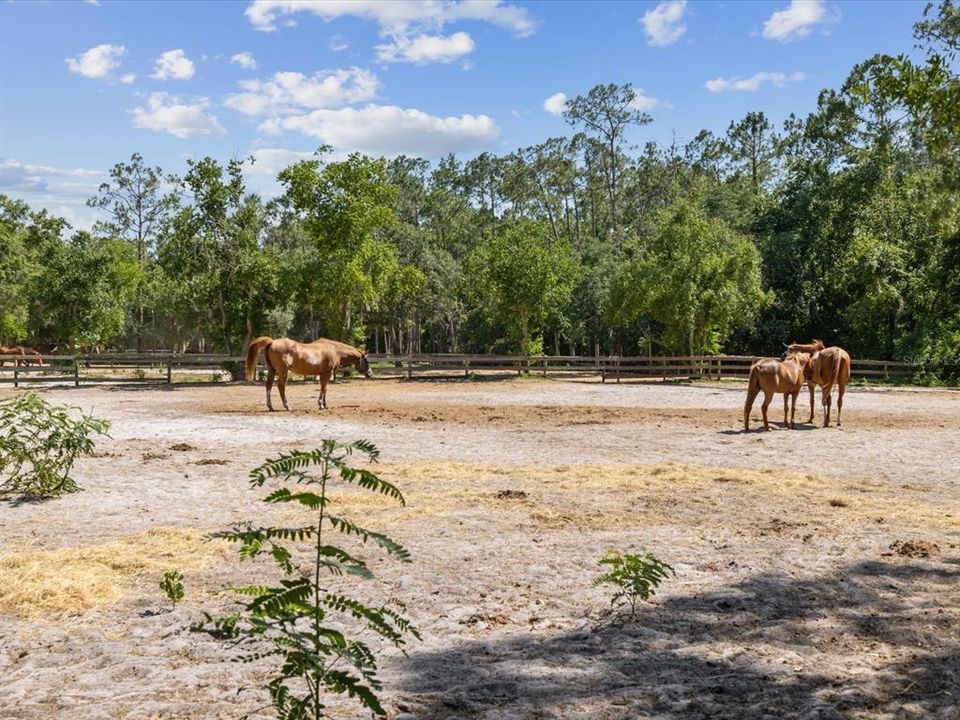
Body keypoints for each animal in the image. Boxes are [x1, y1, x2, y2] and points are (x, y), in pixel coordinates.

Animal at [244, 336, 372, 410]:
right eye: (366, 360)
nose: (370, 374)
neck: (335, 350)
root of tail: (272, 342)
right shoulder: (327, 373)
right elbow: (324, 388)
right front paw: (321, 404)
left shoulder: (322, 374)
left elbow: (324, 388)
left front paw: (324, 404)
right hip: (283, 371)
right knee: (281, 386)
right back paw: (287, 406)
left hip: (272, 370)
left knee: (268, 386)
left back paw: (270, 406)